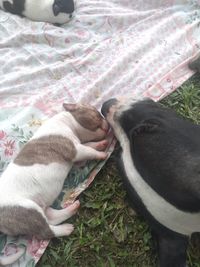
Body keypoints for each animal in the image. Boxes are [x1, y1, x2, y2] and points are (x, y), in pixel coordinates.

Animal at [0, 102, 108, 266]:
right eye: (96, 114)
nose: (107, 124)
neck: (66, 121)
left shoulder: (78, 147)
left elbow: (90, 145)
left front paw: (100, 144)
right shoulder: (75, 149)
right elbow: (89, 150)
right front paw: (102, 154)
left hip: (37, 206)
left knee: (51, 217)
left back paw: (72, 208)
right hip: (26, 209)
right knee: (45, 231)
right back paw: (66, 228)